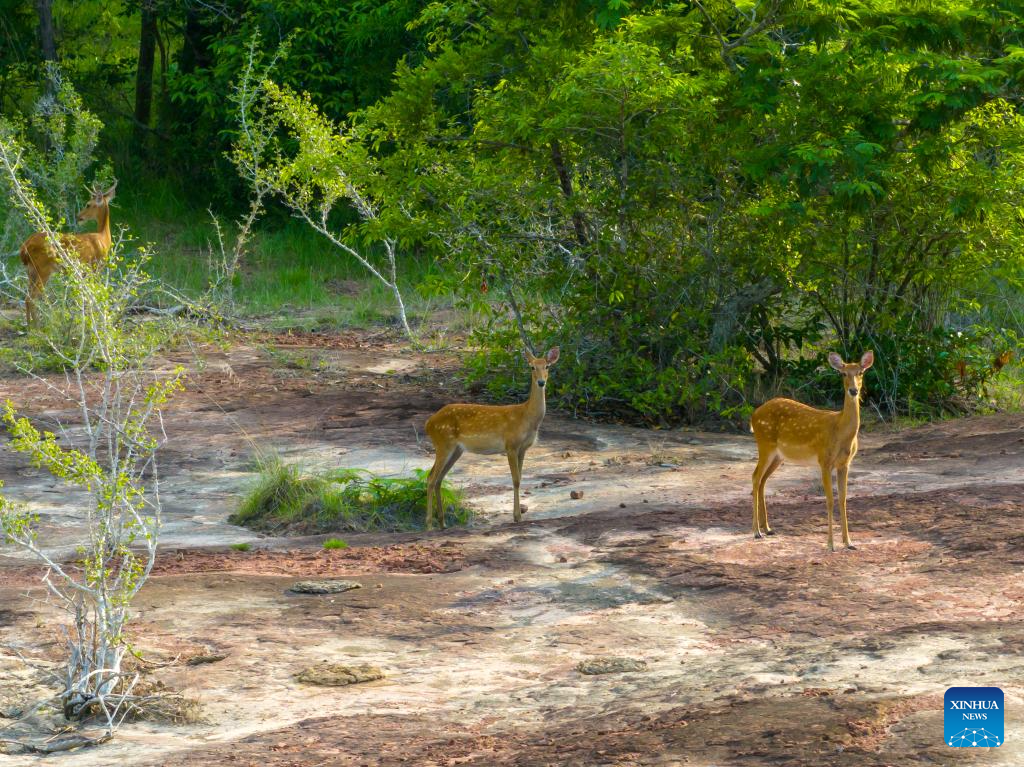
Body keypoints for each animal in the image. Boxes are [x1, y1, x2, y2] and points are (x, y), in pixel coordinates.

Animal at [19, 182, 118, 323]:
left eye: (88, 204)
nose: (78, 217)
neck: (103, 238)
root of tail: (25, 247)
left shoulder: (85, 273)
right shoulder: (94, 268)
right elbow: (90, 297)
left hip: (31, 270)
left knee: (27, 297)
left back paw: (30, 325)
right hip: (43, 269)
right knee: (31, 298)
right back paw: (36, 326)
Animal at [423, 346, 561, 528]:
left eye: (547, 366)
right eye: (532, 367)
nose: (541, 382)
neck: (526, 417)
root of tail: (428, 424)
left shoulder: (523, 448)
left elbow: (520, 478)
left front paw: (518, 516)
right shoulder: (510, 445)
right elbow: (515, 480)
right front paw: (517, 517)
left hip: (456, 449)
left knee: (439, 478)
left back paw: (443, 523)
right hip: (443, 443)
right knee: (431, 478)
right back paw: (429, 525)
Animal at [749, 346, 876, 548]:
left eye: (861, 372)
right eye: (843, 373)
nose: (853, 390)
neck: (840, 431)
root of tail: (754, 415)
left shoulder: (844, 464)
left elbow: (843, 500)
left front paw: (848, 542)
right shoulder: (824, 460)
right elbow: (830, 500)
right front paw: (831, 544)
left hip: (778, 456)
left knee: (762, 480)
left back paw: (768, 528)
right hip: (765, 444)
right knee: (755, 477)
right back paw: (756, 531)